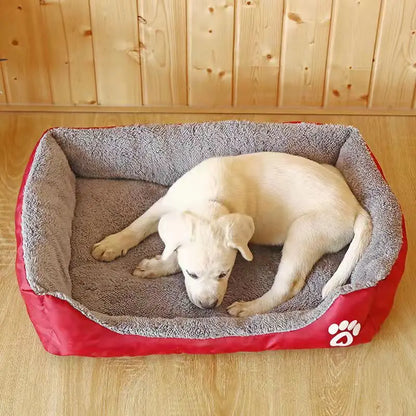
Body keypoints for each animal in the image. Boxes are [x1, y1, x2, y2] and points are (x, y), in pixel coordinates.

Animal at [92, 153, 372, 318]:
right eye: (192, 274)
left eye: (224, 274)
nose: (208, 305)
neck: (210, 199)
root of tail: (356, 206)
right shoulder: (165, 204)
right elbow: (138, 226)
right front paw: (112, 244)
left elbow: (172, 257)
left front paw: (157, 266)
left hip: (305, 232)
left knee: (287, 285)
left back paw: (249, 307)